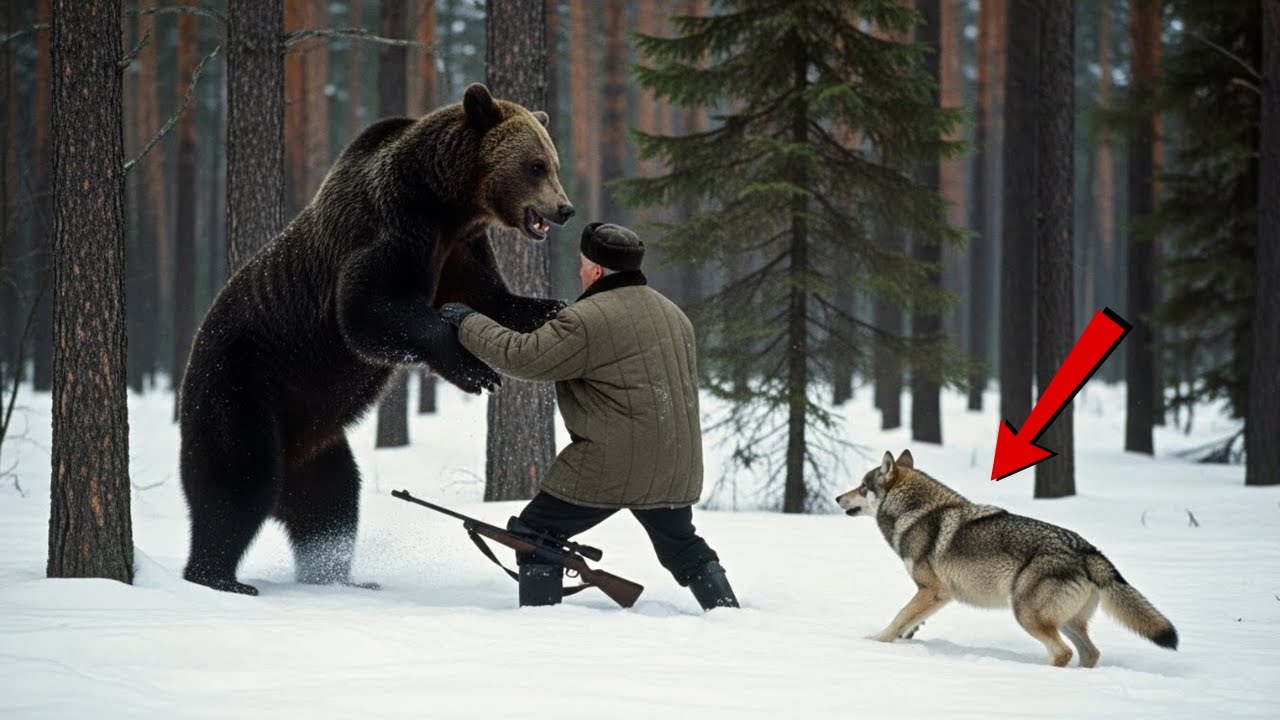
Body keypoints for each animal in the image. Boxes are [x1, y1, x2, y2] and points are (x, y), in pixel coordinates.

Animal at [178, 83, 573, 595]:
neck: (447, 203)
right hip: (241, 383)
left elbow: (495, 303)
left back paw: (338, 576)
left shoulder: (461, 250)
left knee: (332, 501)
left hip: (316, 441)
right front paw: (474, 371)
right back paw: (219, 577)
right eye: (536, 165)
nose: (564, 209)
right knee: (238, 478)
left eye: (553, 162)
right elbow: (368, 311)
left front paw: (557, 308)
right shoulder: (394, 228)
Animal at [836, 450, 1178, 667]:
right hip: (1066, 621)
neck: (915, 513)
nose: (838, 497)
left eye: (862, 487)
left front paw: (873, 642)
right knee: (1090, 654)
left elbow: (897, 618)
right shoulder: (935, 596)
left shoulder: (933, 591)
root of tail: (1088, 550)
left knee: (1063, 653)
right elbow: (909, 622)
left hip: (1026, 614)